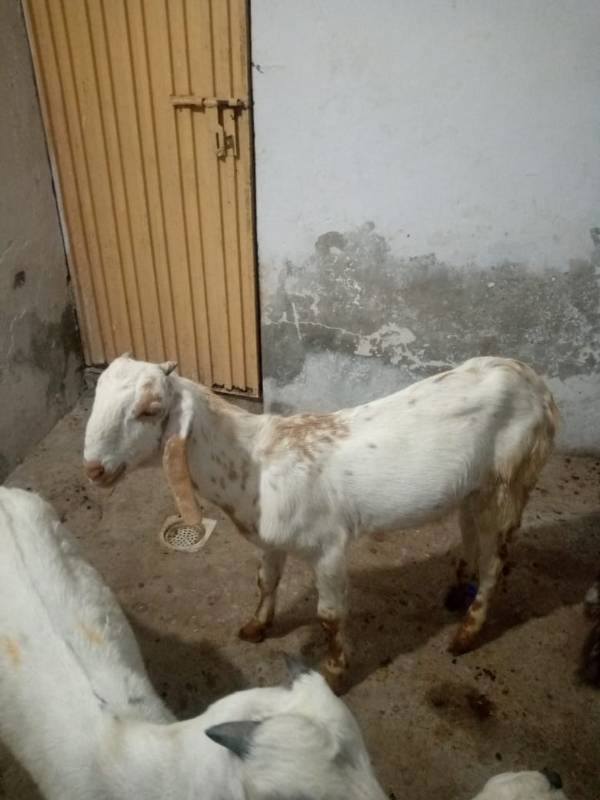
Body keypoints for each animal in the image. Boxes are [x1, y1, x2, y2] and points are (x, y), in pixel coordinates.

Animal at [84, 355, 558, 679]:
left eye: (150, 409)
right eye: (97, 395)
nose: (93, 469)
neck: (255, 463)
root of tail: (535, 382)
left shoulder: (328, 546)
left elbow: (329, 615)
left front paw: (334, 671)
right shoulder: (271, 539)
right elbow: (265, 582)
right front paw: (256, 627)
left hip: (513, 479)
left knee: (498, 561)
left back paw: (466, 632)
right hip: (474, 487)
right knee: (470, 531)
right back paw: (458, 588)